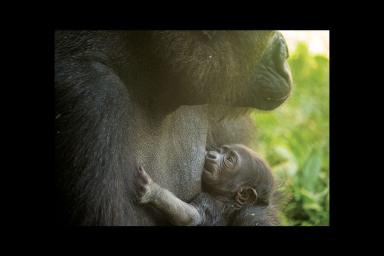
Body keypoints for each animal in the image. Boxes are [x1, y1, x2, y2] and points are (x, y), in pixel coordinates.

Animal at [134, 144, 278, 226]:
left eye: (229, 159)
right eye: (220, 150)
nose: (212, 154)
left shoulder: (209, 202)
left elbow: (192, 216)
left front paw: (153, 192)